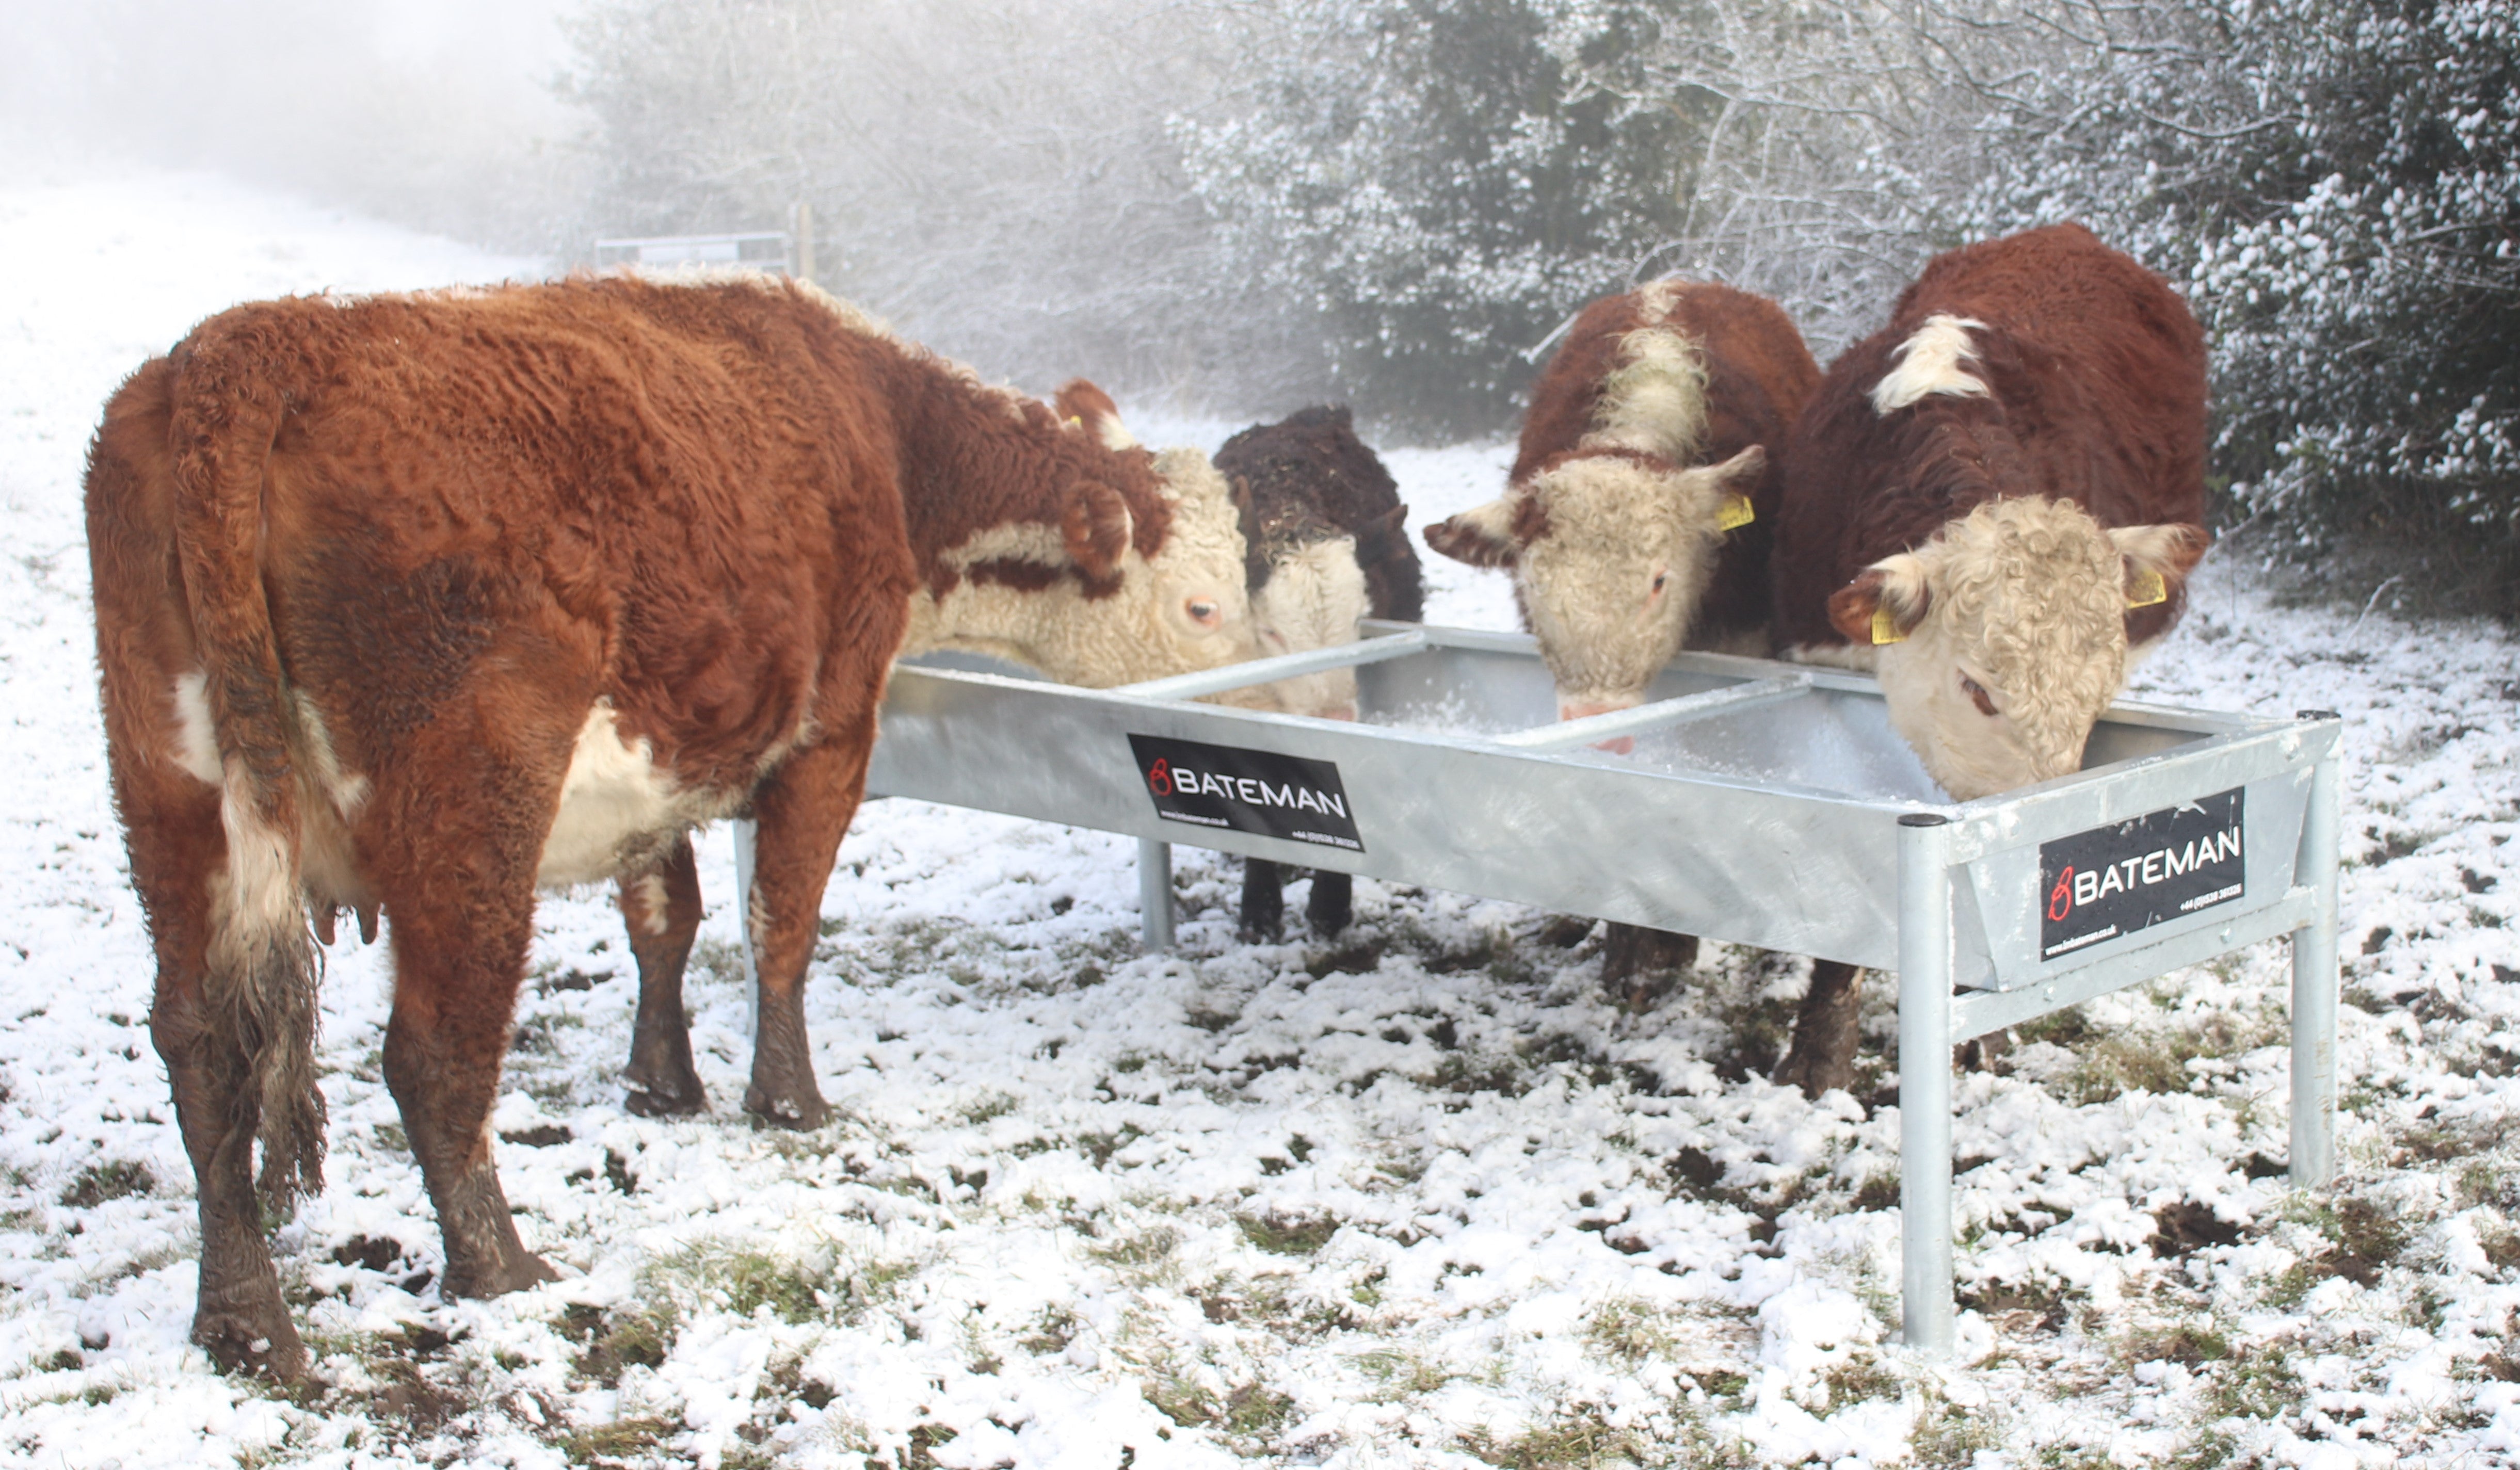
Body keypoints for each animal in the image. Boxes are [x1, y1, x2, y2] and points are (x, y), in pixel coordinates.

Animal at [89, 273, 1270, 1381]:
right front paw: (788, 1102)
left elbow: (666, 918)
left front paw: (662, 1083)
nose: (1263, 700)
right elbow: (779, 921)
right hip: (472, 798)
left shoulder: (665, 755)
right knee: (433, 1048)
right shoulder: (830, 730)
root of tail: (249, 344)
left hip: (170, 797)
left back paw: (244, 1318)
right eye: (1203, 606)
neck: (885, 435)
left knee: (200, 1044)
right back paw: (499, 1265)